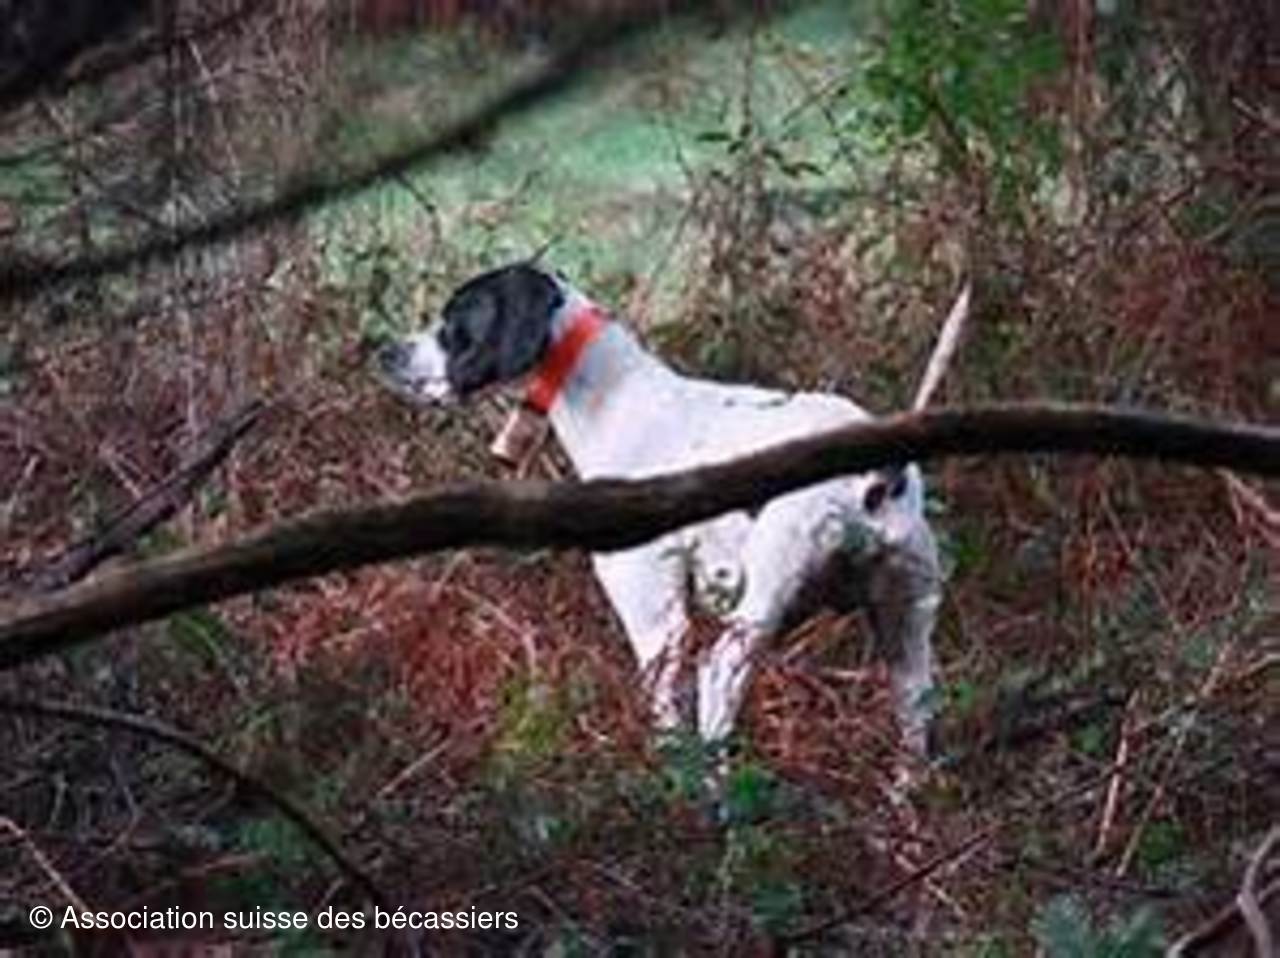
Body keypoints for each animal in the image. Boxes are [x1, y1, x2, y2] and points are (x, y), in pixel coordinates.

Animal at [373, 262, 947, 758]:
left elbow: (666, 715)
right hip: (907, 625)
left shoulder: (653, 608)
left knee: (718, 682)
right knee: (916, 713)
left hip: (756, 613)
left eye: (455, 321)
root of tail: (875, 474)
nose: (385, 352)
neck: (616, 400)